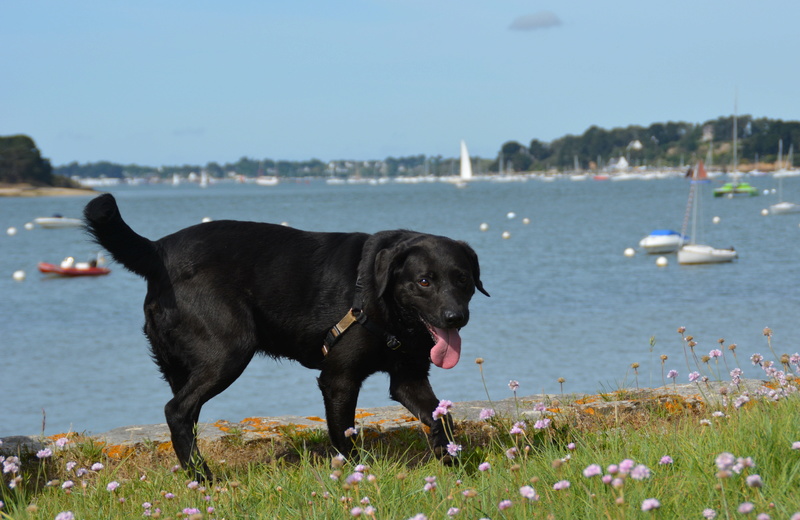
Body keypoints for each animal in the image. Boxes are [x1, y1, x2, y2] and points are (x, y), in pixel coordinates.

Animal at [86, 193, 488, 478]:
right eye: (424, 281)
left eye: (463, 279)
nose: (456, 317)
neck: (383, 303)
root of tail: (158, 251)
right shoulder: (338, 380)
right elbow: (343, 434)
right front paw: (358, 475)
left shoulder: (408, 378)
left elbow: (442, 419)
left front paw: (454, 464)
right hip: (229, 353)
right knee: (177, 411)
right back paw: (204, 478)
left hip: (183, 366)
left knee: (185, 414)